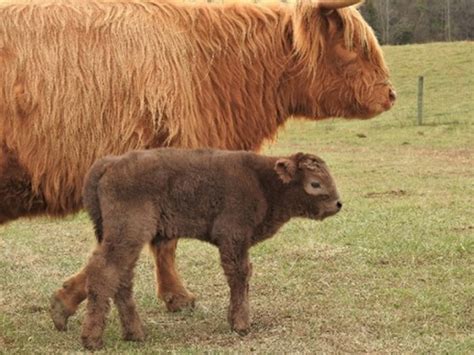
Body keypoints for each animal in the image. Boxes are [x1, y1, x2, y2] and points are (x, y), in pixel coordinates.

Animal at [79, 148, 342, 350]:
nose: (338, 204)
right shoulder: (233, 238)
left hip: (124, 240)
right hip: (128, 235)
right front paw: (241, 324)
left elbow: (244, 276)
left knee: (122, 278)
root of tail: (110, 163)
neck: (262, 181)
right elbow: (239, 275)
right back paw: (93, 340)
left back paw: (135, 334)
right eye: (315, 183)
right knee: (104, 272)